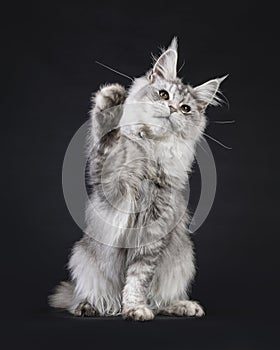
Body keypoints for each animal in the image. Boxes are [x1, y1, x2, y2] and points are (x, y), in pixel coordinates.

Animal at [49, 37, 226, 320]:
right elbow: (106, 141)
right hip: (82, 259)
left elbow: (138, 280)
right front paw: (111, 100)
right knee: (87, 296)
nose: (172, 108)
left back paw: (182, 306)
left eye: (185, 108)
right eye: (163, 95)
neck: (151, 150)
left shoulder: (152, 234)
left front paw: (134, 308)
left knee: (159, 301)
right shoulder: (109, 184)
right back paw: (88, 306)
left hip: (183, 261)